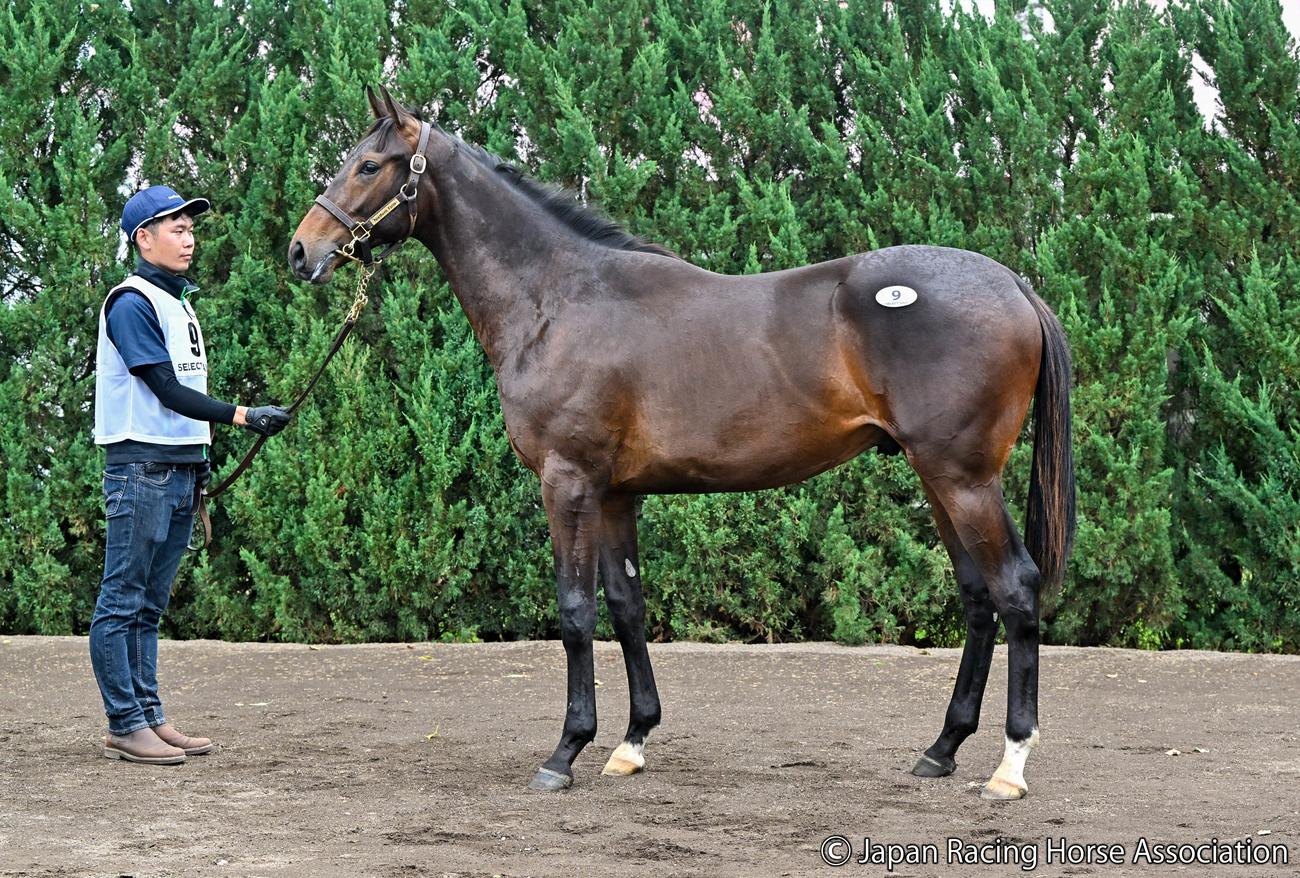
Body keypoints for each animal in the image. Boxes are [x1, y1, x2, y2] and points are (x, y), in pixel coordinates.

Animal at [288, 86, 1076, 800]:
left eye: (369, 165)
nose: (302, 251)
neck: (559, 300)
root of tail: (1013, 283)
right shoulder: (615, 494)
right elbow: (626, 605)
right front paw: (630, 743)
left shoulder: (567, 481)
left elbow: (575, 611)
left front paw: (565, 752)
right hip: (937, 477)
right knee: (977, 597)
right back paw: (941, 749)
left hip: (963, 478)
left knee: (1015, 587)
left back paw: (1009, 766)